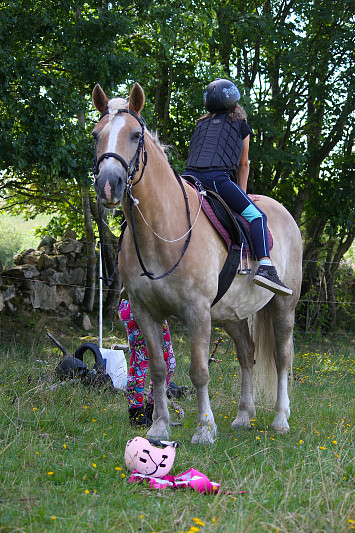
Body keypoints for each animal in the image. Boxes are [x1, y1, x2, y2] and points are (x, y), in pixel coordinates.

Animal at [92, 81, 304, 442]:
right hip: (232, 314)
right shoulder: (145, 312)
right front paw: (159, 426)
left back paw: (280, 419)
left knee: (281, 357)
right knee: (247, 354)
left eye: (134, 135)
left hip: (283, 305)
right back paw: (243, 416)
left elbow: (199, 370)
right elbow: (159, 369)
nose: (109, 184)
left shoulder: (196, 311)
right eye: (96, 135)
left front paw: (204, 428)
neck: (164, 227)